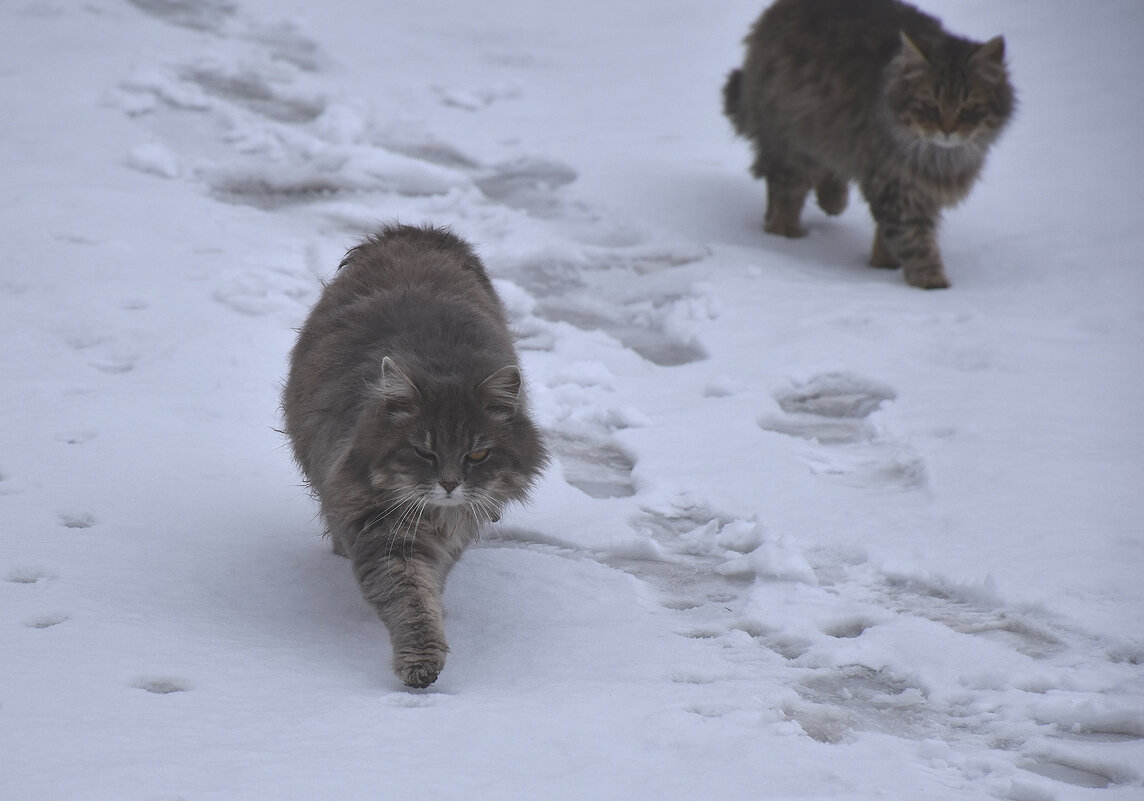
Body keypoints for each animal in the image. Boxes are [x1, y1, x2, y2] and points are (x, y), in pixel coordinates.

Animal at [279, 221, 542, 686]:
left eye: (477, 456)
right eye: (424, 452)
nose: (450, 484)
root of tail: (416, 230)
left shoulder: (456, 527)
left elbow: (430, 587)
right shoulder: (382, 531)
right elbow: (411, 601)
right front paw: (420, 663)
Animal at [727, 0, 1015, 288]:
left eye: (967, 108)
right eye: (930, 106)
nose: (948, 130)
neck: (940, 158)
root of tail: (777, 10)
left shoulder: (918, 189)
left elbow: (889, 240)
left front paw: (884, 265)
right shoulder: (896, 186)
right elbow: (916, 241)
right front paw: (931, 282)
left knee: (826, 172)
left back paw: (833, 200)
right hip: (794, 141)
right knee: (783, 198)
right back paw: (789, 235)